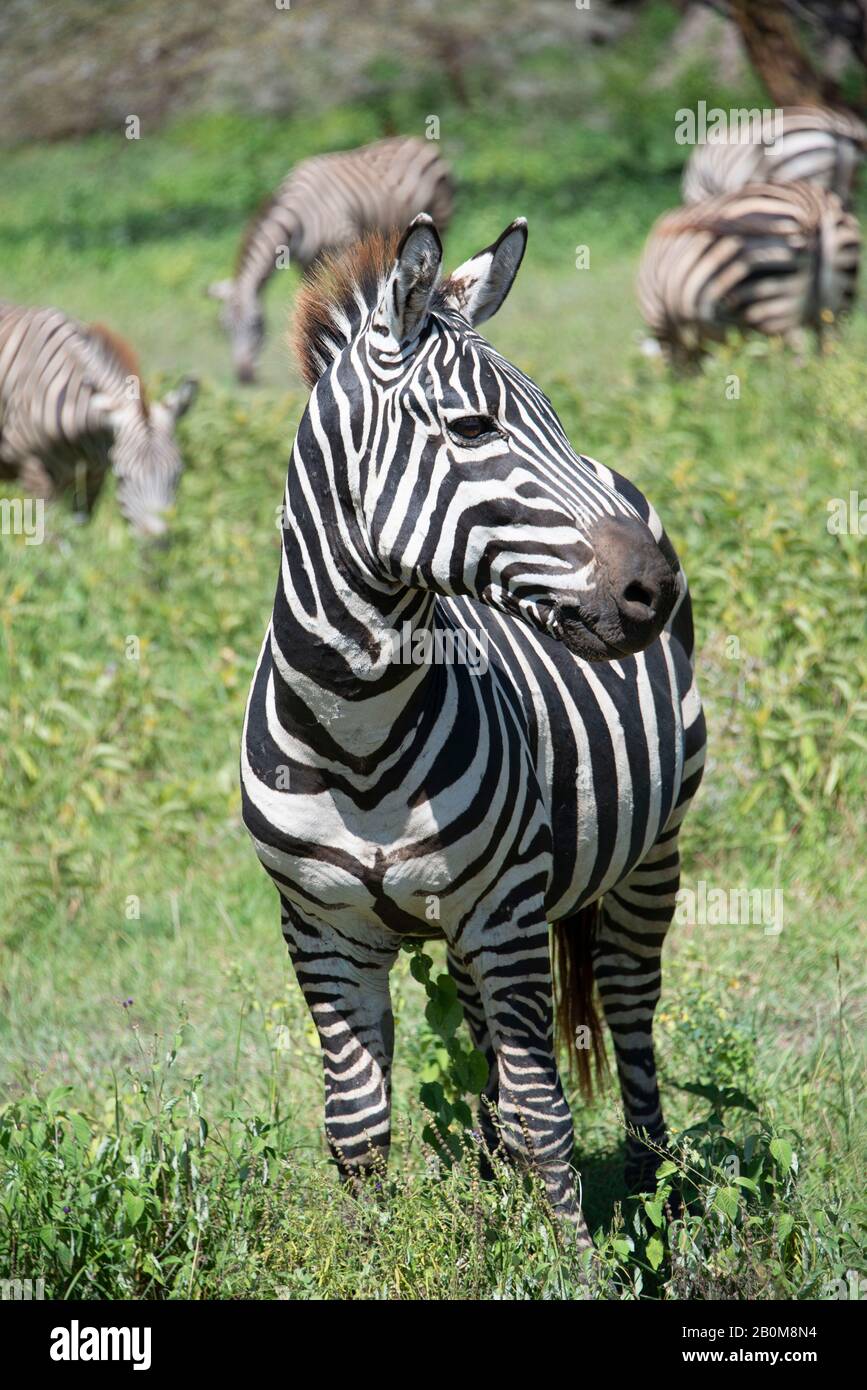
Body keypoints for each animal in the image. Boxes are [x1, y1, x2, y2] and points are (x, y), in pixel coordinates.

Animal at [0, 304, 197, 537]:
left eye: (178, 475)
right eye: (123, 477)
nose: (157, 542)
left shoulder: (94, 476)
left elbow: (80, 526)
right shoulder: (33, 473)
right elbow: (50, 534)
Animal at [207, 136, 454, 383]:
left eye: (255, 324)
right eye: (225, 327)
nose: (243, 375)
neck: (299, 216)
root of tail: (418, 142)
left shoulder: (345, 246)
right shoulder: (305, 263)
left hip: (438, 219)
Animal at [240, 215, 706, 1246]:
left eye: (551, 416)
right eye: (470, 428)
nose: (655, 589)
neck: (356, 730)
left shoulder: (502, 911)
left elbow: (546, 1114)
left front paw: (572, 1260)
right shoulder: (321, 930)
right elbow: (356, 1126)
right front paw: (376, 1257)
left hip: (649, 851)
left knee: (629, 1006)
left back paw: (653, 1194)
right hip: (469, 926)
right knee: (493, 1055)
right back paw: (501, 1196)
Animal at [637, 182, 861, 366]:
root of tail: (813, 208)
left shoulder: (662, 319)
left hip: (774, 308)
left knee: (796, 360)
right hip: (836, 311)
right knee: (830, 358)